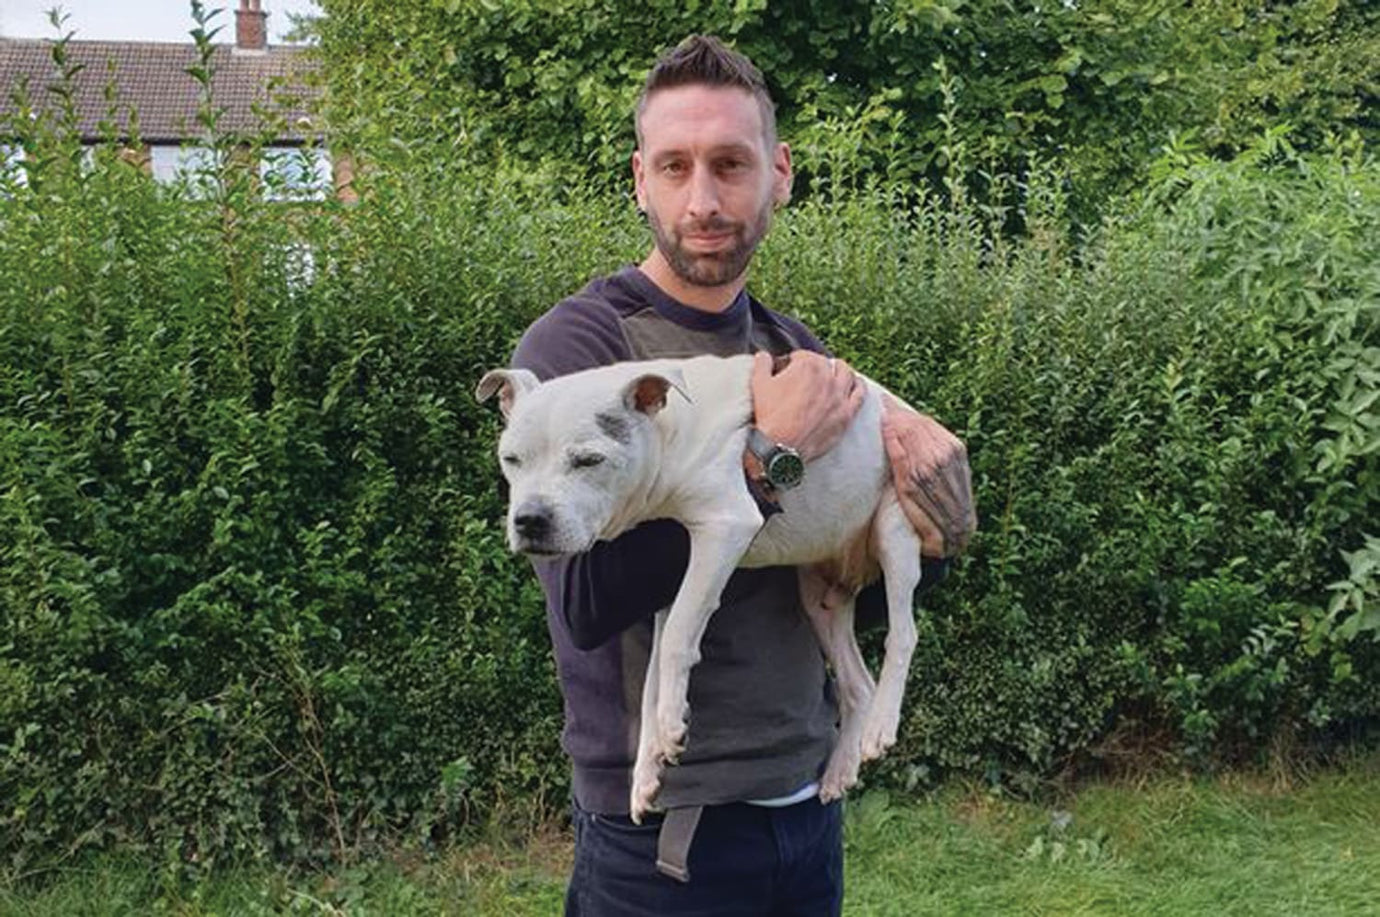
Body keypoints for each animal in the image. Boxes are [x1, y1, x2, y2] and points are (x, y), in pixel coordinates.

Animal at [480, 353, 921, 817]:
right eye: (511, 459)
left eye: (588, 460)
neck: (670, 430)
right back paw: (842, 766)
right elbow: (652, 678)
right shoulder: (668, 584)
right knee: (858, 684)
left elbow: (678, 638)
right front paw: (647, 770)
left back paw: (881, 727)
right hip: (820, 599)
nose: (529, 520)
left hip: (894, 530)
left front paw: (672, 726)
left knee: (903, 635)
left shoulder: (725, 527)